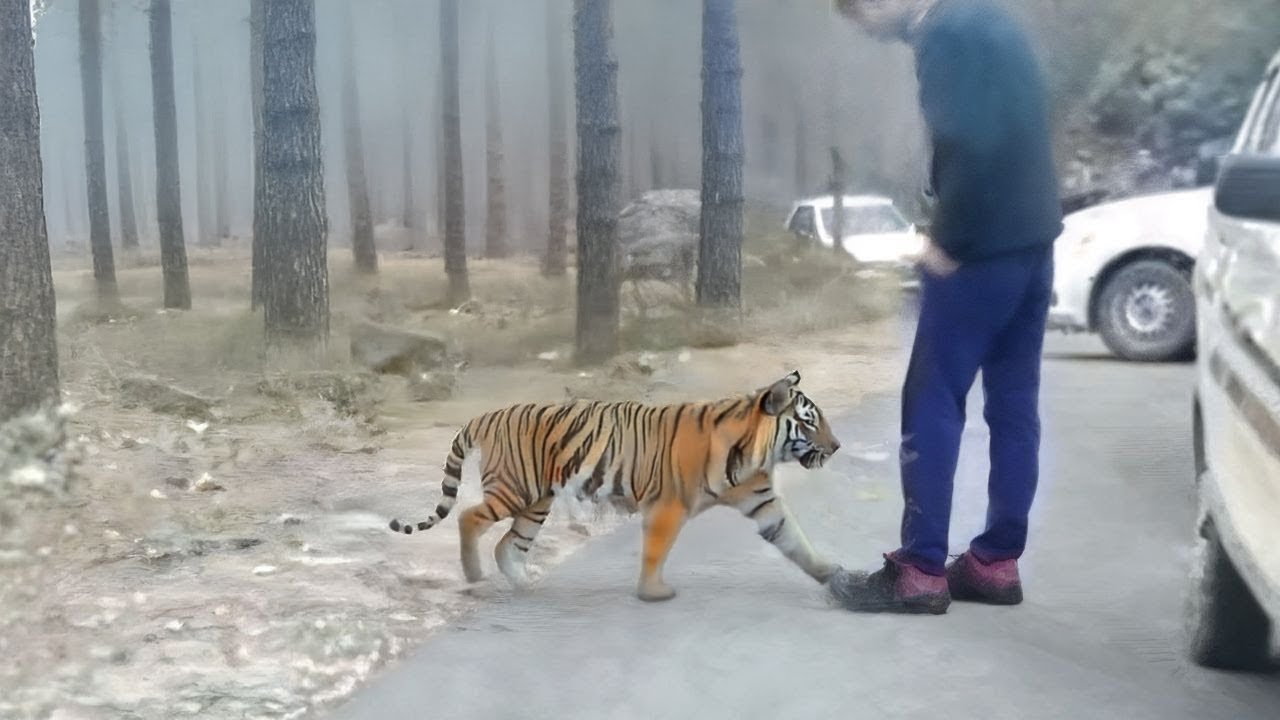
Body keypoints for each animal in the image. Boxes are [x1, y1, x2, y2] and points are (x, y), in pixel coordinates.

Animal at [388, 370, 842, 602]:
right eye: (809, 422)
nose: (836, 446)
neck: (754, 452)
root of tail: (486, 415)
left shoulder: (762, 500)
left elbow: (794, 539)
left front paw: (830, 573)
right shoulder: (667, 505)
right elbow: (655, 550)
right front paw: (653, 592)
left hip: (537, 501)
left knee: (508, 544)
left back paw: (525, 584)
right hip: (516, 488)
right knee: (469, 517)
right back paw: (474, 575)